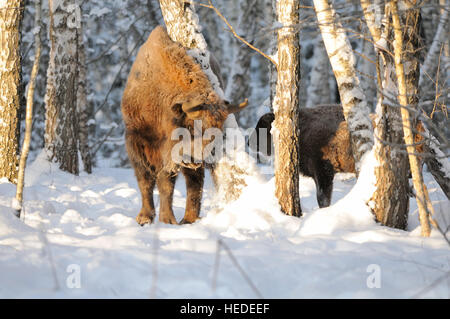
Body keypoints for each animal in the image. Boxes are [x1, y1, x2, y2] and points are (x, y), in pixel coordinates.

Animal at [122, 27, 250, 226]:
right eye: (190, 126)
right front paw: (145, 218)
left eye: (218, 130)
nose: (194, 157)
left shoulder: (170, 157)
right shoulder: (135, 141)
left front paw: (167, 220)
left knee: (196, 183)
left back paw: (189, 219)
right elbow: (145, 180)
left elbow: (167, 184)